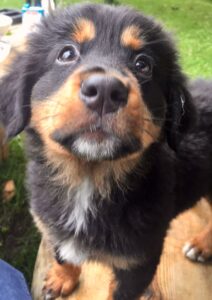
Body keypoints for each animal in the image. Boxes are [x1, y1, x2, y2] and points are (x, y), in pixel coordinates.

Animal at [0, 4, 212, 300]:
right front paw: (61, 279)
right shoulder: (53, 227)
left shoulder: (139, 261)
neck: (88, 178)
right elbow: (63, 255)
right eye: (66, 53)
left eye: (143, 64)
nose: (104, 90)